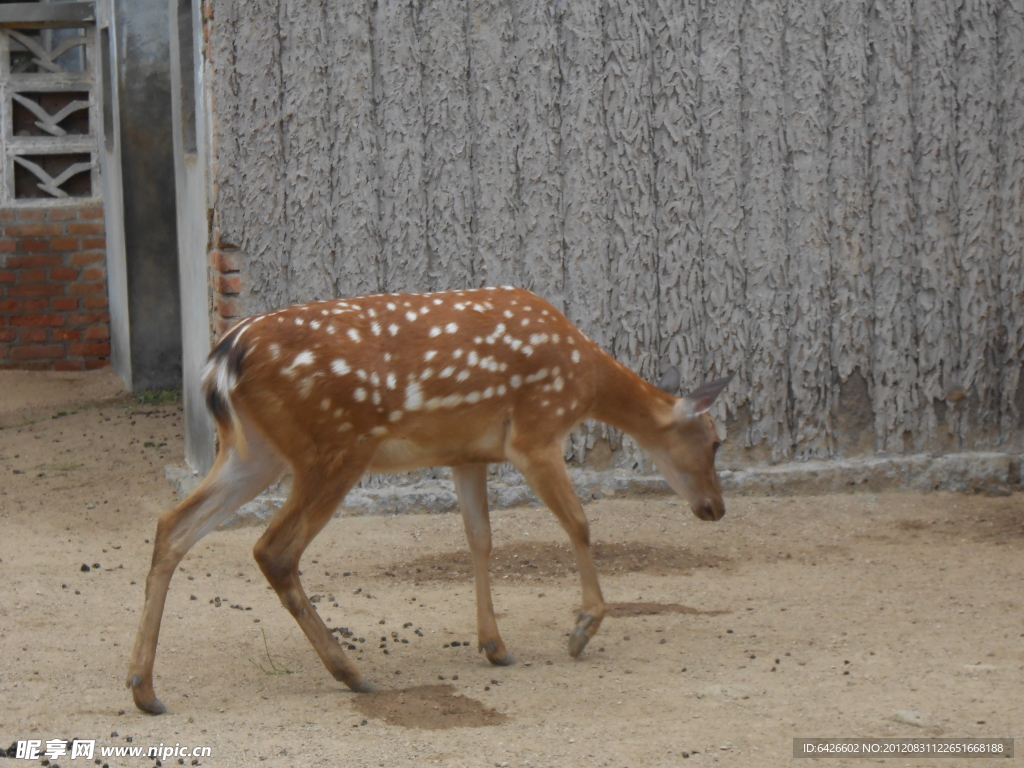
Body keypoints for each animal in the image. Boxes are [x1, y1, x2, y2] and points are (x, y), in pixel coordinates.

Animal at [128, 288, 733, 716]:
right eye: (715, 441)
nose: (715, 508)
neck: (584, 381)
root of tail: (222, 360)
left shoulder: (468, 452)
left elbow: (480, 539)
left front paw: (495, 645)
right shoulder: (535, 433)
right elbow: (579, 522)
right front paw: (582, 629)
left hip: (254, 451)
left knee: (172, 525)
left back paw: (144, 689)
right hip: (334, 447)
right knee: (272, 549)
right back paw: (352, 673)